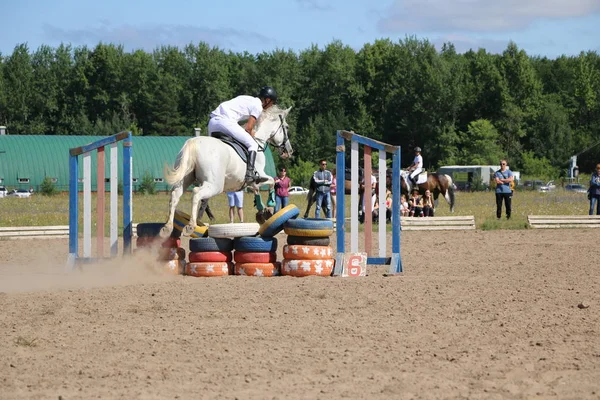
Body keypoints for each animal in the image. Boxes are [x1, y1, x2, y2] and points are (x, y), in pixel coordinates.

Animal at [158, 106, 292, 238]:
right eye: (286, 127)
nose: (289, 151)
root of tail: (193, 143)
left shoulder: (252, 183)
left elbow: (257, 191)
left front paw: (261, 212)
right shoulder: (260, 177)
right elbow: (272, 182)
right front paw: (270, 205)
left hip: (185, 178)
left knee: (175, 195)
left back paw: (167, 228)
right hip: (215, 185)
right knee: (196, 193)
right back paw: (191, 226)